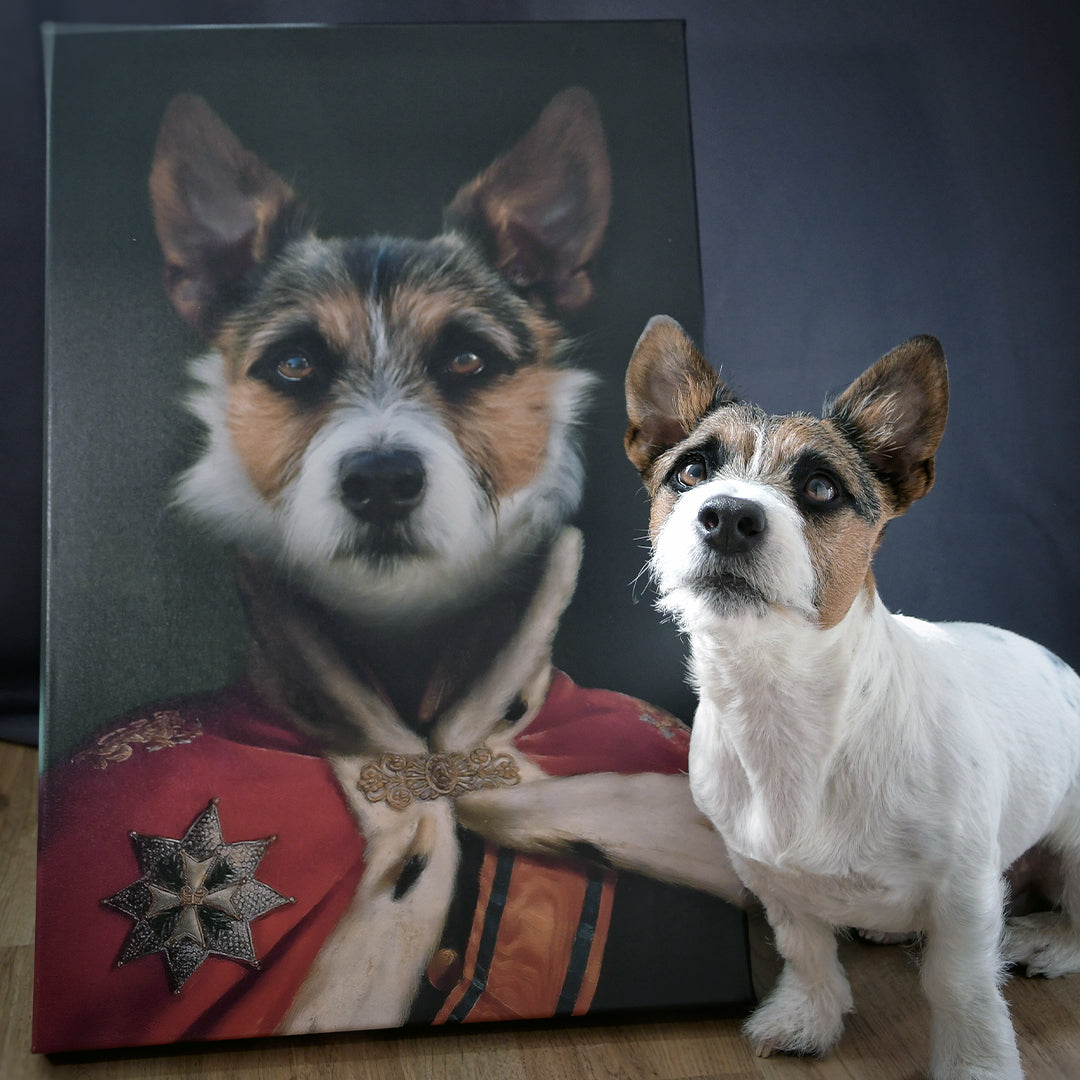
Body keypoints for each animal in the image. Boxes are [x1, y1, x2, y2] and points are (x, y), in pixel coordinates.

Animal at [626, 313, 1080, 1080]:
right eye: (690, 472)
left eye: (820, 488)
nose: (726, 516)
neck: (786, 704)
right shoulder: (768, 873)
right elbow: (804, 948)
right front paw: (808, 1016)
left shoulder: (964, 893)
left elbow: (959, 984)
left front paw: (976, 1063)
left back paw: (1044, 941)